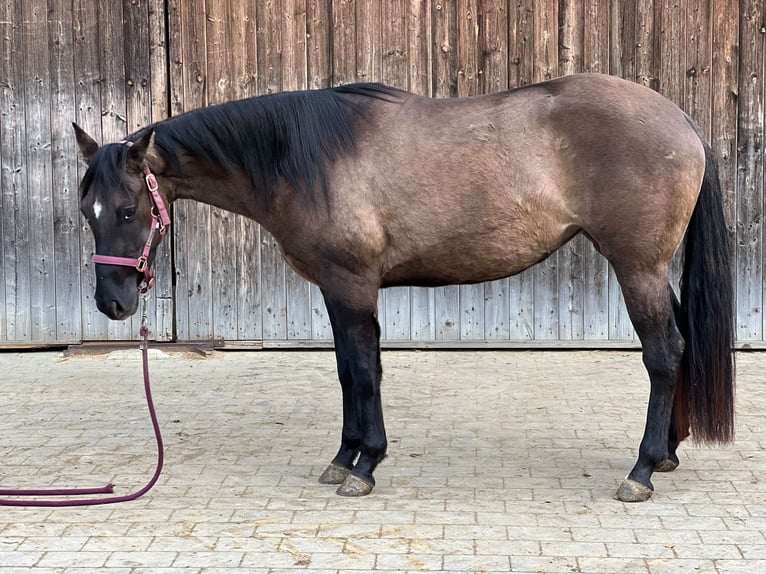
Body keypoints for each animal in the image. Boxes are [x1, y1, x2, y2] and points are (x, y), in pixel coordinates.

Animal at [74, 72, 735, 502]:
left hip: (637, 266)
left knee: (664, 353)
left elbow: (365, 373)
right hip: (649, 268)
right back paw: (668, 453)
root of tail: (679, 119)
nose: (113, 302)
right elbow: (347, 371)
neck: (302, 159)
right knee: (677, 346)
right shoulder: (336, 291)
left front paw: (365, 465)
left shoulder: (352, 286)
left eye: (130, 210)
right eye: (87, 210)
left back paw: (641, 469)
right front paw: (344, 458)